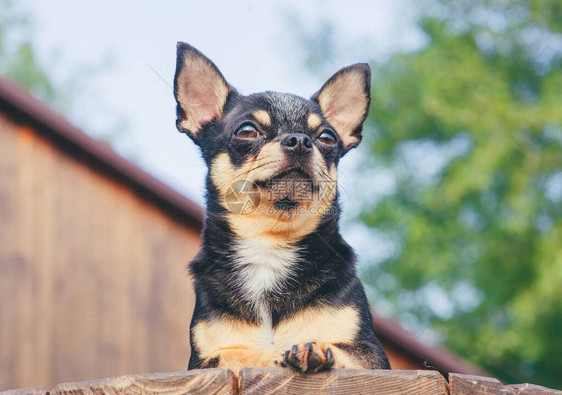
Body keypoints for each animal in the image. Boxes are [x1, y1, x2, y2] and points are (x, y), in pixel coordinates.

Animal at [173, 42, 388, 374]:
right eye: (247, 131)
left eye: (327, 138)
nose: (299, 140)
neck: (270, 243)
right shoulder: (202, 361)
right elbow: (238, 352)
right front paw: (273, 353)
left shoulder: (374, 355)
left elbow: (343, 350)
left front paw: (315, 347)